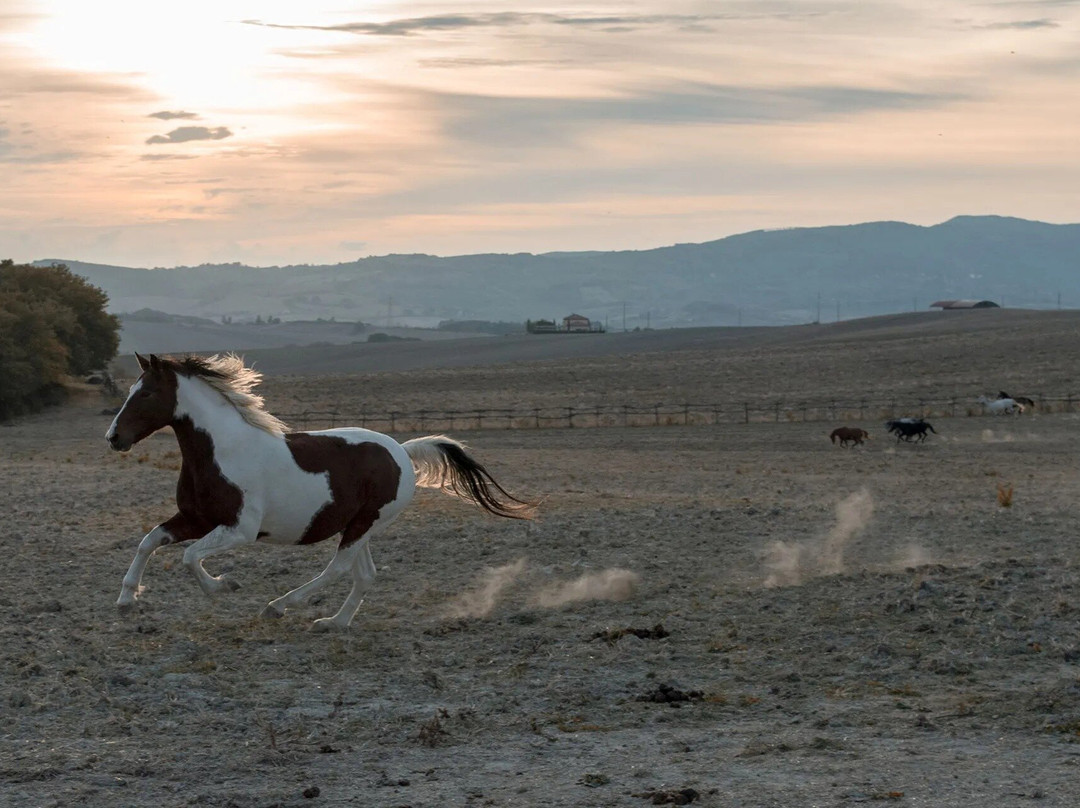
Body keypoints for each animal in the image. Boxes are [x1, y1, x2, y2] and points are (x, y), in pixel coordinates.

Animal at [105, 353, 536, 631]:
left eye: (145, 393)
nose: (113, 438)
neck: (222, 451)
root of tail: (401, 450)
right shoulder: (195, 518)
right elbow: (149, 541)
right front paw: (126, 600)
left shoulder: (239, 529)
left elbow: (189, 558)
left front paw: (224, 585)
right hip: (362, 526)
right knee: (364, 574)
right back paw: (334, 623)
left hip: (364, 524)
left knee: (340, 569)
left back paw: (279, 606)